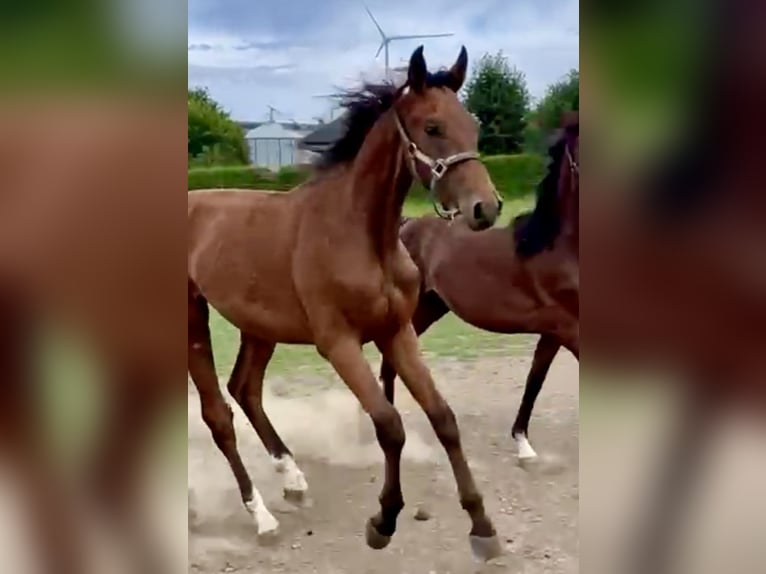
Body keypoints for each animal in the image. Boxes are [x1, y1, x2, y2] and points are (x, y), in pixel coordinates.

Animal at [188, 46, 504, 564]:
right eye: (432, 127)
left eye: (473, 125)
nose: (487, 208)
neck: (362, 235)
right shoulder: (339, 343)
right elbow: (390, 425)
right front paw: (383, 521)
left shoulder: (397, 332)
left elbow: (442, 417)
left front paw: (482, 526)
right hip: (193, 321)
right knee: (219, 415)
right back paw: (262, 516)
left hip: (260, 325)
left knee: (245, 389)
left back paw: (292, 478)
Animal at [380, 115, 580, 462]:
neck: (556, 246)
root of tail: (405, 226)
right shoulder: (569, 327)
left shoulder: (554, 331)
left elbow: (535, 378)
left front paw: (523, 444)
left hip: (430, 308)